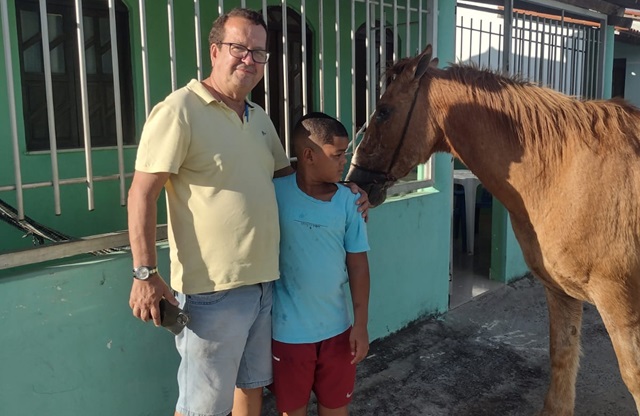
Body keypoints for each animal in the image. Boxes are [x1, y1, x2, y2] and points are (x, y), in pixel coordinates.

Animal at [348, 44, 640, 414]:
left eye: (384, 112)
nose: (354, 180)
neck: (564, 174)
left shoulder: (620, 306)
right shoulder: (560, 292)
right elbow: (561, 359)